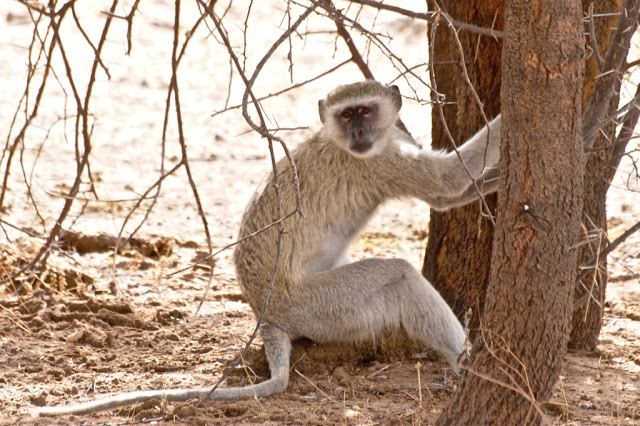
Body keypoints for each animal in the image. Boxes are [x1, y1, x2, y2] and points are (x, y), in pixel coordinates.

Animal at [35, 80, 502, 416]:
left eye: (365, 111)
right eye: (346, 114)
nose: (358, 132)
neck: (341, 141)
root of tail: (266, 313)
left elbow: (447, 195)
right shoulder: (376, 163)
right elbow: (447, 184)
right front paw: (510, 120)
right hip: (322, 306)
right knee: (399, 274)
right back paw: (467, 361)